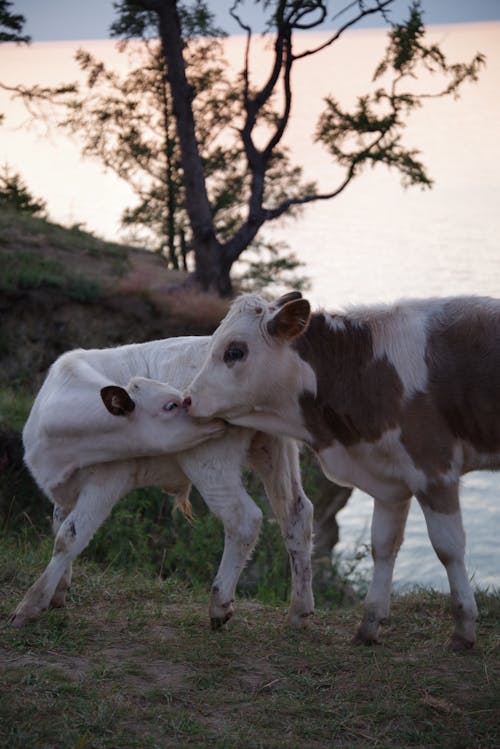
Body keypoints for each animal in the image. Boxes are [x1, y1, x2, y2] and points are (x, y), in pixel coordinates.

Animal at [10, 336, 312, 628]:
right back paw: (299, 611)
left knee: (244, 520)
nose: (192, 400)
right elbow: (59, 526)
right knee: (297, 515)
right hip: (272, 449)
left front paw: (30, 605)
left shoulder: (106, 482)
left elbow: (70, 537)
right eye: (170, 405)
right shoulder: (64, 491)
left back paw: (220, 604)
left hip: (211, 463)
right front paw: (58, 591)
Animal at [186, 292, 500, 648]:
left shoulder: (433, 468)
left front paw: (463, 629)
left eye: (235, 351)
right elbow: (383, 546)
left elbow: (448, 548)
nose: (188, 398)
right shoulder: (389, 483)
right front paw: (369, 625)